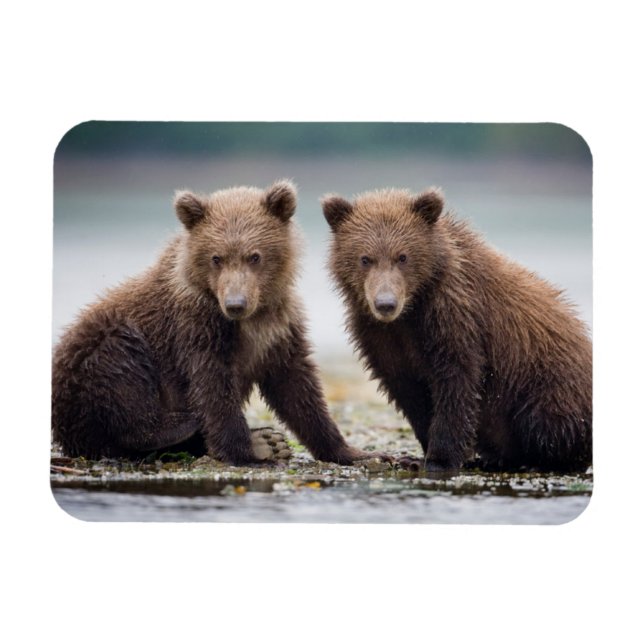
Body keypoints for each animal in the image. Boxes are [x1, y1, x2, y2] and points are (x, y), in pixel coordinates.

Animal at [52, 180, 383, 465]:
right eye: (216, 258)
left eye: (254, 256)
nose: (236, 303)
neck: (250, 318)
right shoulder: (196, 326)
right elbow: (212, 386)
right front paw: (246, 452)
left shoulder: (279, 327)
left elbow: (297, 387)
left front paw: (357, 452)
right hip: (89, 358)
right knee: (119, 365)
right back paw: (188, 428)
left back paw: (266, 441)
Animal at [322, 187, 592, 472]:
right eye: (365, 258)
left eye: (403, 256)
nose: (386, 303)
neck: (413, 308)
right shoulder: (378, 335)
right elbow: (408, 389)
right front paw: (417, 455)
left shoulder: (455, 318)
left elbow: (456, 382)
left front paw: (439, 459)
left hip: (546, 382)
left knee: (547, 424)